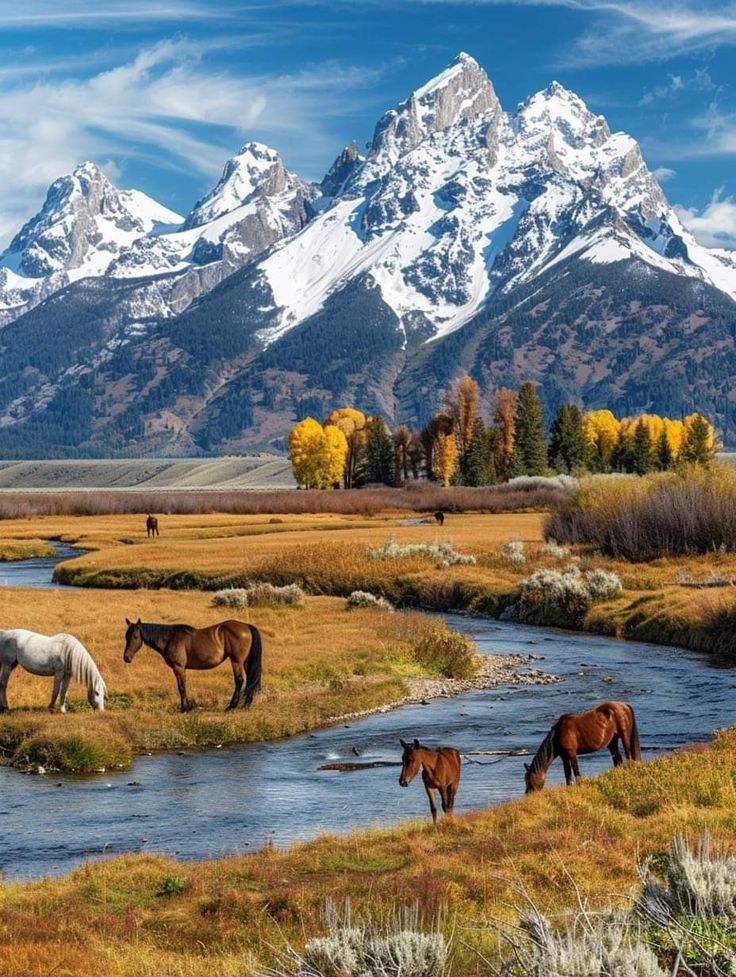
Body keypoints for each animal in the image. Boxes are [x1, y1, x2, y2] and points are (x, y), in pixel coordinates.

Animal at [124, 620, 264, 712]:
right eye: (126, 637)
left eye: (135, 637)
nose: (126, 657)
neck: (170, 638)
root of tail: (246, 626)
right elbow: (183, 687)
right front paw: (188, 707)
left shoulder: (178, 667)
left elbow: (181, 687)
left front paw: (185, 708)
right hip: (245, 661)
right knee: (250, 680)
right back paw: (246, 705)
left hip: (236, 661)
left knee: (239, 680)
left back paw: (231, 706)